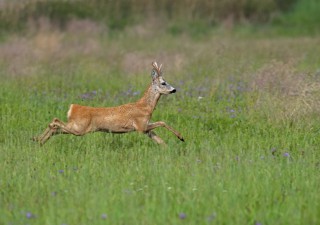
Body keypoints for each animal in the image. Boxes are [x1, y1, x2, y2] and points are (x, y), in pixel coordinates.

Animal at [31, 61, 185, 146]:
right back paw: (37, 139)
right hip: (79, 128)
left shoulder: (145, 129)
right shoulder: (140, 126)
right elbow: (162, 122)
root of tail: (72, 107)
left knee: (55, 127)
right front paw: (181, 137)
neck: (145, 107)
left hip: (76, 127)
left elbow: (160, 140)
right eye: (163, 83)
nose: (174, 89)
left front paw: (170, 147)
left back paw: (38, 140)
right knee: (55, 122)